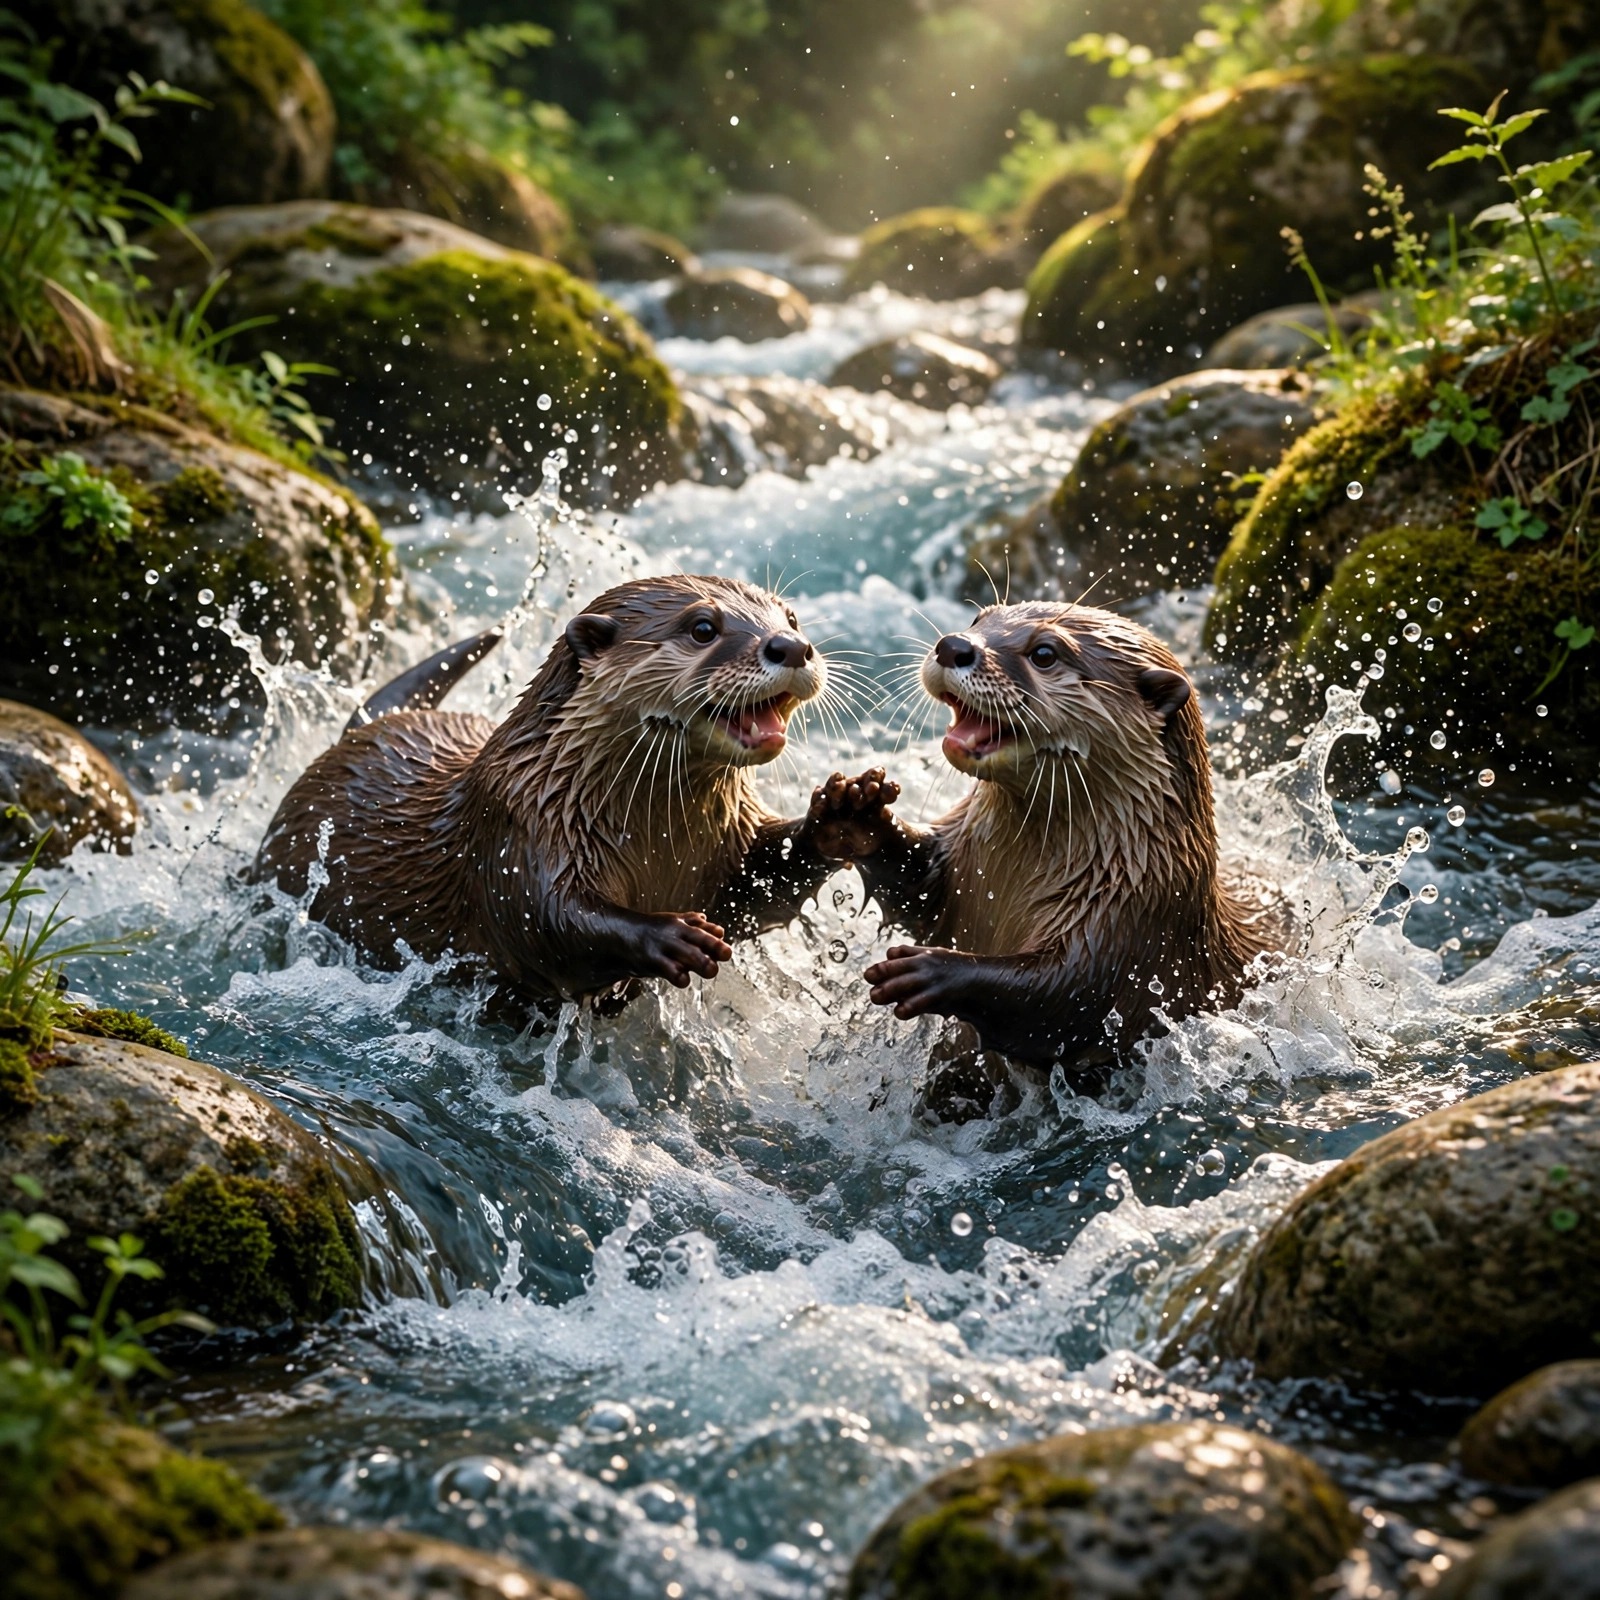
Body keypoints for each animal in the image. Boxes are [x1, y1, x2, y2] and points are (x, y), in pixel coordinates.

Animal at [253, 575, 900, 1004]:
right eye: (703, 628)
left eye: (790, 618)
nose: (792, 647)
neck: (658, 840)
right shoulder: (518, 831)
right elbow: (552, 926)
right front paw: (672, 936)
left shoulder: (729, 843)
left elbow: (760, 887)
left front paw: (844, 810)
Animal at [858, 602, 1284, 1068]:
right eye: (979, 619)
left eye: (1044, 653)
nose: (952, 645)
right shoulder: (957, 849)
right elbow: (918, 888)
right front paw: (854, 809)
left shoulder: (1133, 922)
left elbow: (1061, 1003)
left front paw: (929, 970)